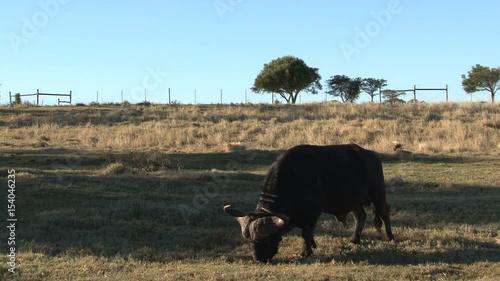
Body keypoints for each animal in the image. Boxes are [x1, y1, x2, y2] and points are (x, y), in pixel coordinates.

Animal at [225, 143, 392, 262]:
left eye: (265, 240)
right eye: (251, 241)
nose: (258, 259)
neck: (294, 178)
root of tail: (373, 156)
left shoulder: (312, 213)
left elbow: (306, 232)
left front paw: (305, 252)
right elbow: (308, 234)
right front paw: (312, 245)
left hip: (378, 194)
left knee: (384, 213)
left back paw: (389, 237)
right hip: (354, 202)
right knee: (360, 216)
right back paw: (355, 239)